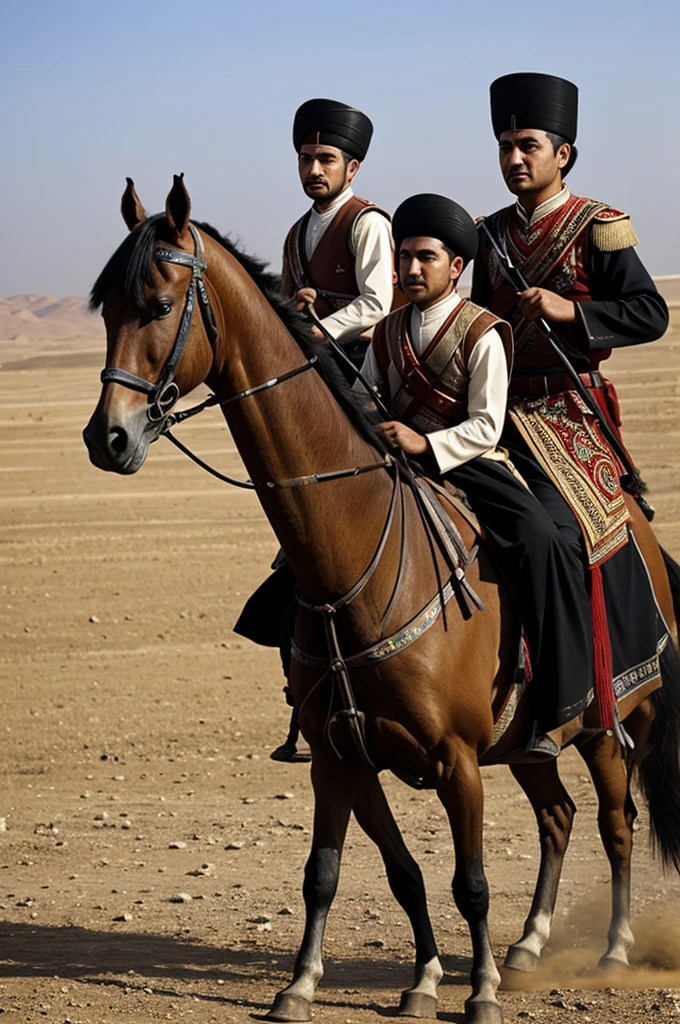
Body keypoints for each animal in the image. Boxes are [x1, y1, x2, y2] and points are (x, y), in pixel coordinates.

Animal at [83, 176, 680, 1024]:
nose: (109, 439)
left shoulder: (457, 760)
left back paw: (613, 948)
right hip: (529, 740)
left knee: (615, 820)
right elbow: (353, 873)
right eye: (105, 309)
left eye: (161, 305)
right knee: (558, 815)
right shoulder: (341, 756)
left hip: (604, 717)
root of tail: (637, 521)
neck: (351, 552)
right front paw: (343, 982)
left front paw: (477, 991)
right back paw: (529, 946)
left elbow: (470, 883)